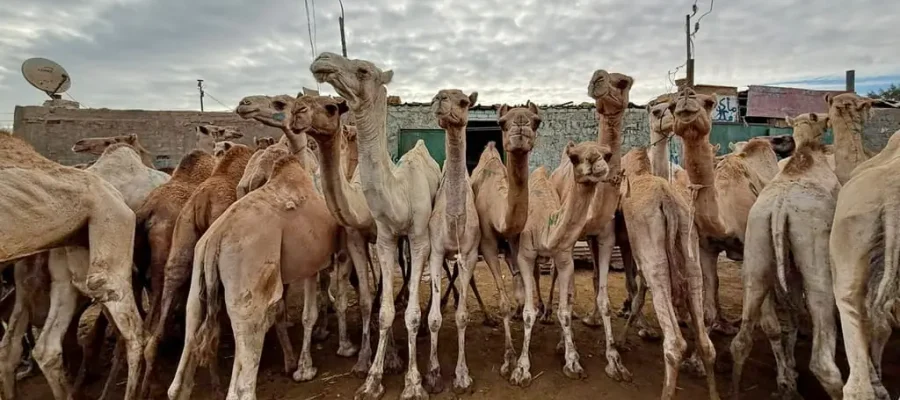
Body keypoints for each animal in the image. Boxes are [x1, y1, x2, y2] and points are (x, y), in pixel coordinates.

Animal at [167, 152, 340, 400]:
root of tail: (215, 241)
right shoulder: (311, 264)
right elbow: (308, 314)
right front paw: (304, 369)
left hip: (199, 276)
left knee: (192, 334)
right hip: (249, 277)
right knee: (246, 373)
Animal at [311, 51, 443, 400]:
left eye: (363, 70)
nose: (322, 60)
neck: (400, 193)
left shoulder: (420, 237)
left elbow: (412, 315)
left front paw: (414, 384)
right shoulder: (384, 239)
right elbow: (382, 310)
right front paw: (371, 379)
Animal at [548, 69, 632, 381]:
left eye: (624, 81)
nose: (598, 78)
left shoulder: (605, 238)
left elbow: (604, 296)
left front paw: (615, 360)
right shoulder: (570, 240)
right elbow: (569, 292)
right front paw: (566, 349)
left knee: (596, 277)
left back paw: (591, 319)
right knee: (556, 278)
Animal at [617, 148, 719, 400]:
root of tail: (668, 202)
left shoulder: (642, 261)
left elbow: (637, 298)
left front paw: (622, 340)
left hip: (657, 267)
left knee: (674, 343)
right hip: (692, 261)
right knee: (706, 344)